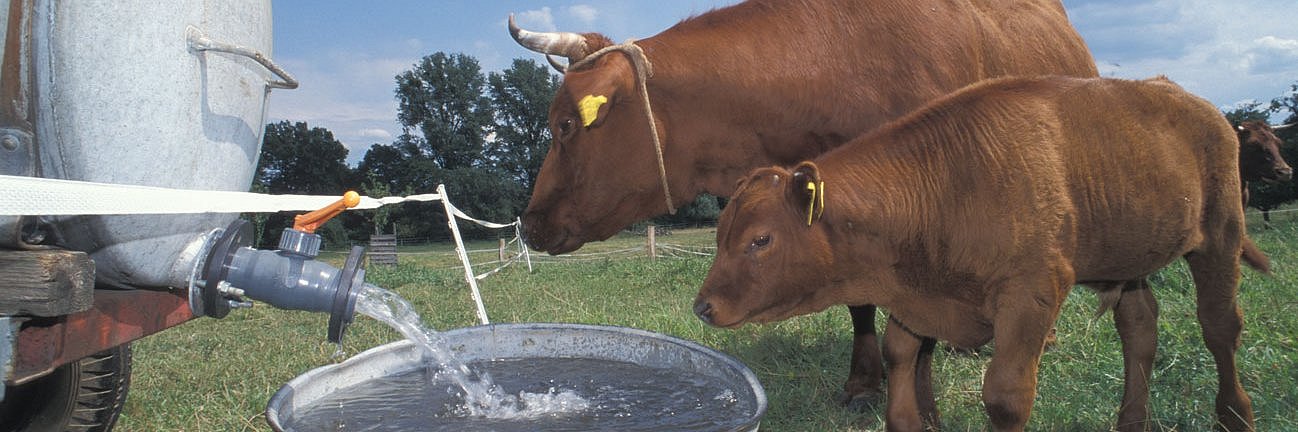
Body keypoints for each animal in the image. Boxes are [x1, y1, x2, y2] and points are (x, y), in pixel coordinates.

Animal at [695, 75, 1261, 428]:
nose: (703, 306)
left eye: (760, 240)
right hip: (1129, 257)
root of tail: (1191, 101)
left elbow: (1005, 397)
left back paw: (1235, 416)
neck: (948, 184)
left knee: (1220, 327)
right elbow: (901, 362)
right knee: (1140, 328)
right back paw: (1131, 421)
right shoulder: (915, 298)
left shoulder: (1032, 293)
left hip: (1221, 234)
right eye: (720, 235)